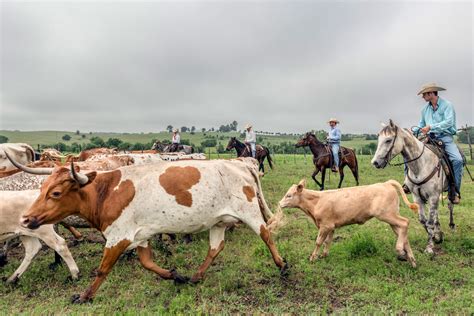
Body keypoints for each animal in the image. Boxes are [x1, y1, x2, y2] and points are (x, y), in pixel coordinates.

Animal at [7, 154, 286, 304]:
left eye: (55, 193)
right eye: (42, 189)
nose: (26, 219)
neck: (106, 192)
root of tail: (239, 165)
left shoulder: (118, 237)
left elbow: (102, 270)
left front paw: (85, 296)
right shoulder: (140, 236)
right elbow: (148, 263)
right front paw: (175, 275)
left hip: (249, 212)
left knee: (266, 235)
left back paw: (282, 265)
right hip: (217, 222)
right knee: (216, 248)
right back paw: (196, 276)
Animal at [280, 179, 416, 268]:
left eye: (289, 195)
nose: (280, 204)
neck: (316, 202)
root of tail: (385, 183)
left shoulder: (325, 225)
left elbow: (318, 242)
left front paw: (313, 258)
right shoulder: (331, 227)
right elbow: (327, 241)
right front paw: (324, 255)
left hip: (386, 215)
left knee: (405, 222)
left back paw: (400, 250)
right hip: (391, 217)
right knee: (403, 234)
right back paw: (411, 259)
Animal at [372, 118, 458, 254]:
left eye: (388, 140)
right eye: (379, 139)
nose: (375, 162)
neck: (420, 165)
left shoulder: (433, 196)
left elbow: (429, 222)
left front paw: (430, 247)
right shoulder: (417, 196)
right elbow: (423, 221)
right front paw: (435, 237)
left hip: (448, 191)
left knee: (450, 205)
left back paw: (452, 225)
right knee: (435, 212)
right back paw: (438, 231)